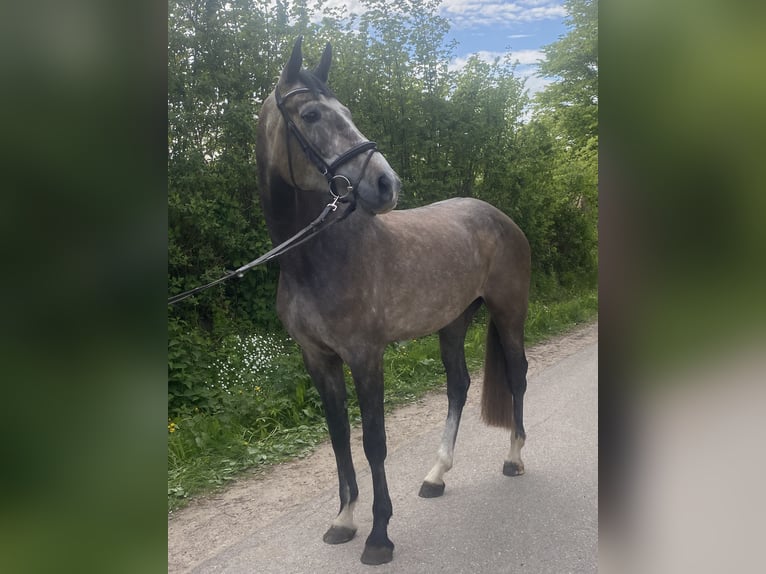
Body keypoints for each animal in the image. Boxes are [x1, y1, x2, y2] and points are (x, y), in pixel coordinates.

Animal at [255, 37, 531, 565]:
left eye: (347, 111)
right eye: (313, 114)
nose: (386, 184)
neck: (315, 259)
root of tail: (498, 216)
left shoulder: (366, 356)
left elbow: (374, 443)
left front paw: (379, 535)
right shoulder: (318, 359)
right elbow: (339, 439)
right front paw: (343, 520)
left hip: (509, 314)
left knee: (518, 376)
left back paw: (513, 458)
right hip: (453, 322)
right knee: (459, 385)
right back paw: (436, 476)